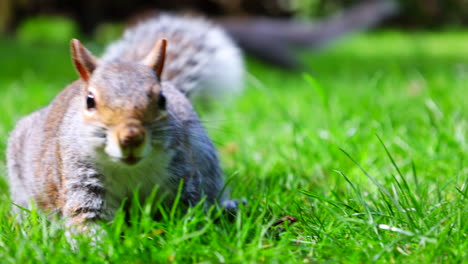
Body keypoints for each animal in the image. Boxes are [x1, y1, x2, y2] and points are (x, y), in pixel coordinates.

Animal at [6, 13, 241, 231]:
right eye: (89, 101)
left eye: (162, 99)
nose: (131, 138)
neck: (129, 169)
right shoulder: (83, 180)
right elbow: (87, 219)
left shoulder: (181, 172)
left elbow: (189, 212)